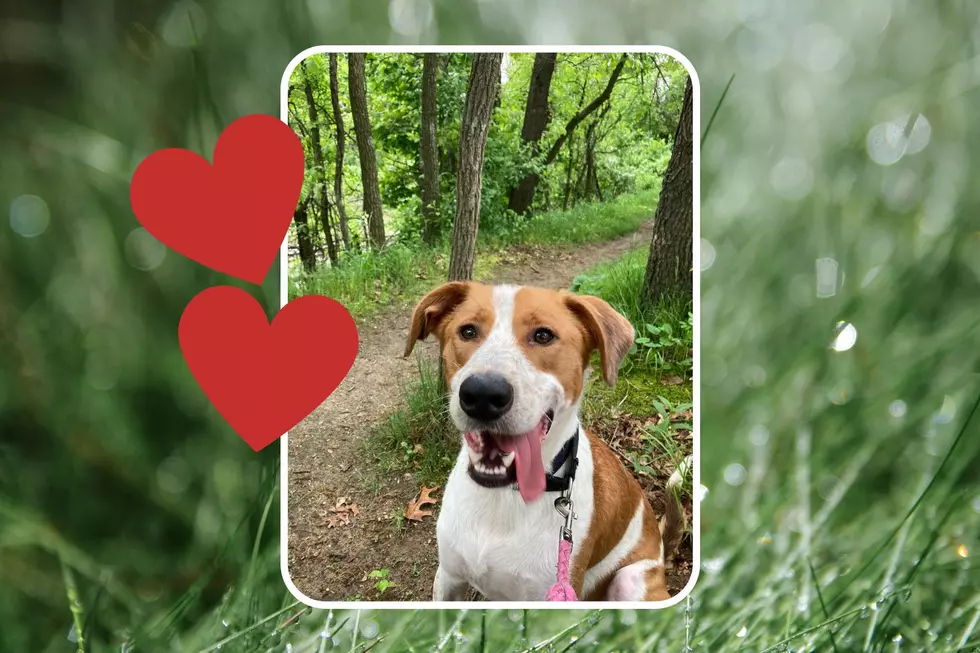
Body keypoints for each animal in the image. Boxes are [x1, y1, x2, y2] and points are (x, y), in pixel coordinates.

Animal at [402, 280, 684, 600]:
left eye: (543, 335)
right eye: (468, 331)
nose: (482, 394)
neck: (504, 497)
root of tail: (661, 550)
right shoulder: (449, 577)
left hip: (630, 581)